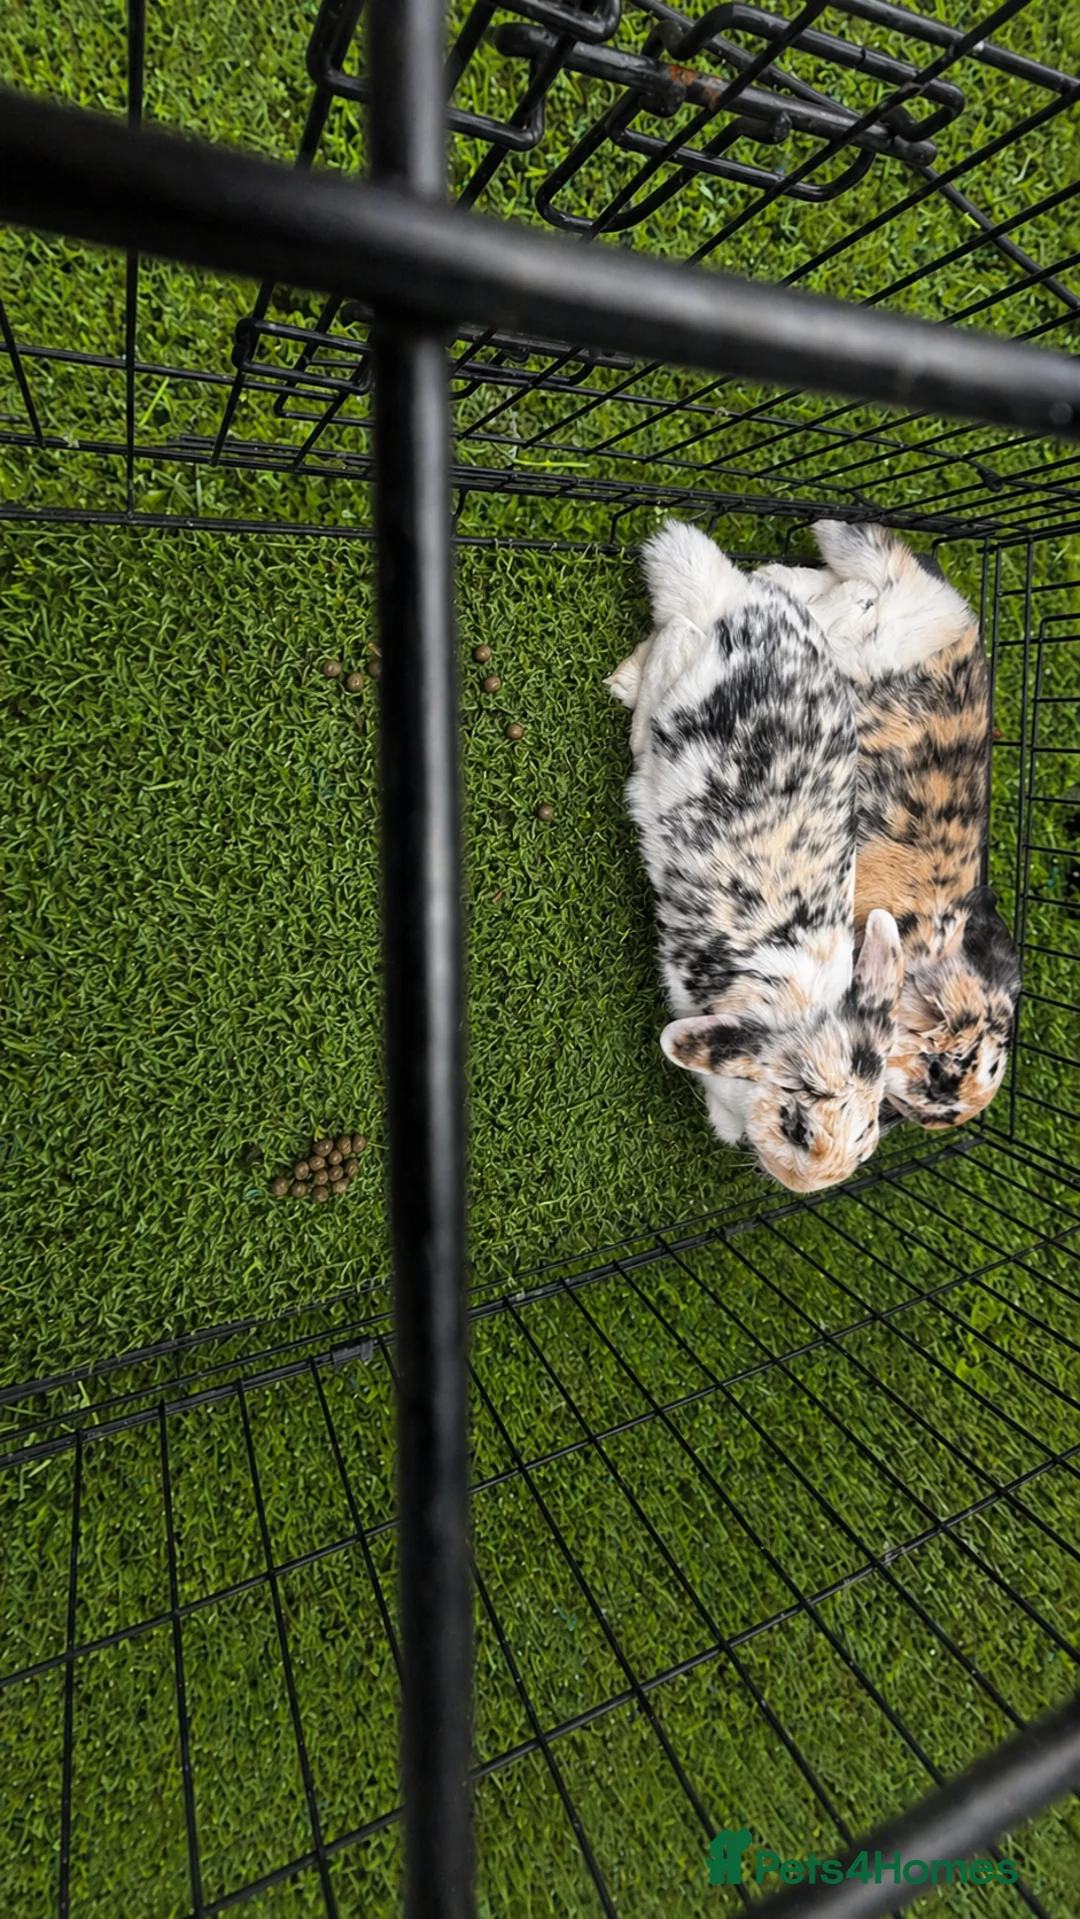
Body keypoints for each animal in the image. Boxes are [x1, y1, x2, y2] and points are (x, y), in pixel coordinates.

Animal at [605, 518, 904, 1194]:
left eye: (868, 1138)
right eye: (796, 1126)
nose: (803, 1187)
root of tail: (736, 608)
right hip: (684, 679)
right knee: (672, 641)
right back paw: (627, 701)